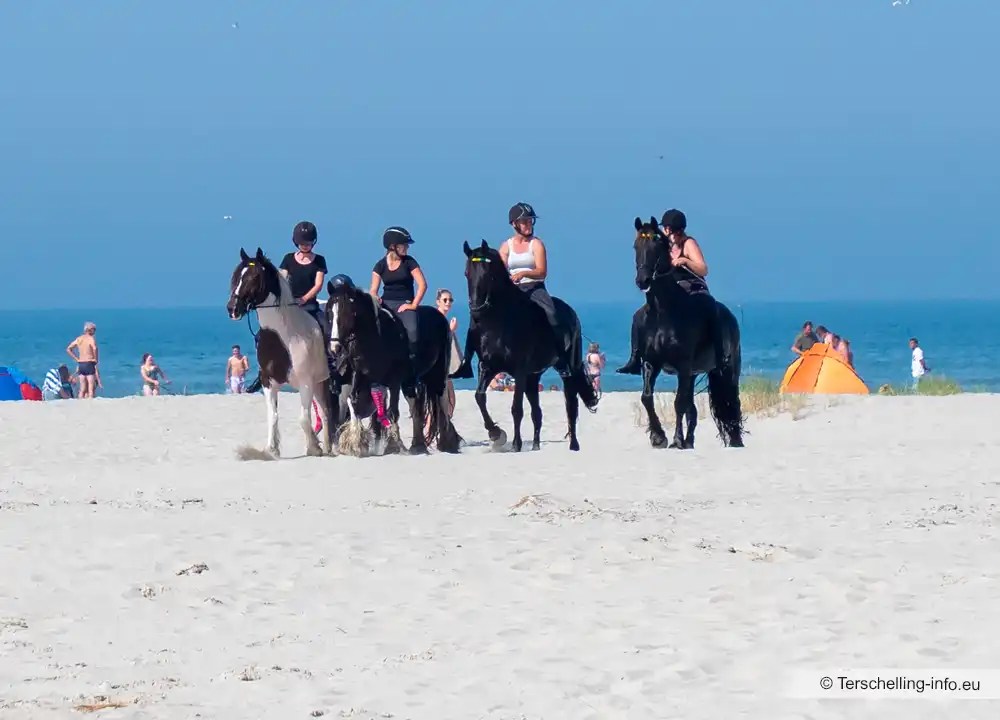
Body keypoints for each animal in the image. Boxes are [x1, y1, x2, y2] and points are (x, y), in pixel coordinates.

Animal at [227, 248, 336, 458]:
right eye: (236, 276)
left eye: (254, 277)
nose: (232, 309)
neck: (284, 337)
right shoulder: (268, 382)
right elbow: (273, 415)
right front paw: (272, 449)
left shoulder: (306, 382)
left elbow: (304, 418)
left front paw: (314, 447)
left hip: (323, 381)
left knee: (327, 412)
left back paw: (328, 447)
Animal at [324, 278, 460, 452]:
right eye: (329, 312)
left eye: (346, 312)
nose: (335, 348)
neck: (377, 338)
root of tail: (440, 317)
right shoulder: (361, 377)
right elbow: (354, 403)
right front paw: (356, 442)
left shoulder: (394, 381)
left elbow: (392, 412)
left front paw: (394, 444)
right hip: (410, 382)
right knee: (416, 406)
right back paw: (418, 444)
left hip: (438, 374)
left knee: (441, 403)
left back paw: (446, 442)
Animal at [458, 240, 596, 450]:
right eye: (467, 273)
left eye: (488, 273)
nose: (476, 311)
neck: (498, 322)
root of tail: (571, 312)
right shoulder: (488, 367)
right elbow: (479, 397)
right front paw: (495, 433)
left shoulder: (519, 371)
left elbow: (516, 408)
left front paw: (515, 444)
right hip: (533, 376)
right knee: (537, 412)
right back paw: (536, 445)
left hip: (566, 369)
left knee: (571, 404)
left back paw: (573, 445)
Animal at [624, 217, 744, 448]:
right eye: (636, 246)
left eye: (656, 244)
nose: (643, 280)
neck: (662, 313)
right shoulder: (651, 362)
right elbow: (647, 397)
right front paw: (658, 437)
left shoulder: (683, 364)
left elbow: (679, 402)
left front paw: (676, 440)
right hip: (693, 372)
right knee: (693, 407)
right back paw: (689, 441)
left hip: (724, 370)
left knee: (730, 402)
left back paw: (733, 442)